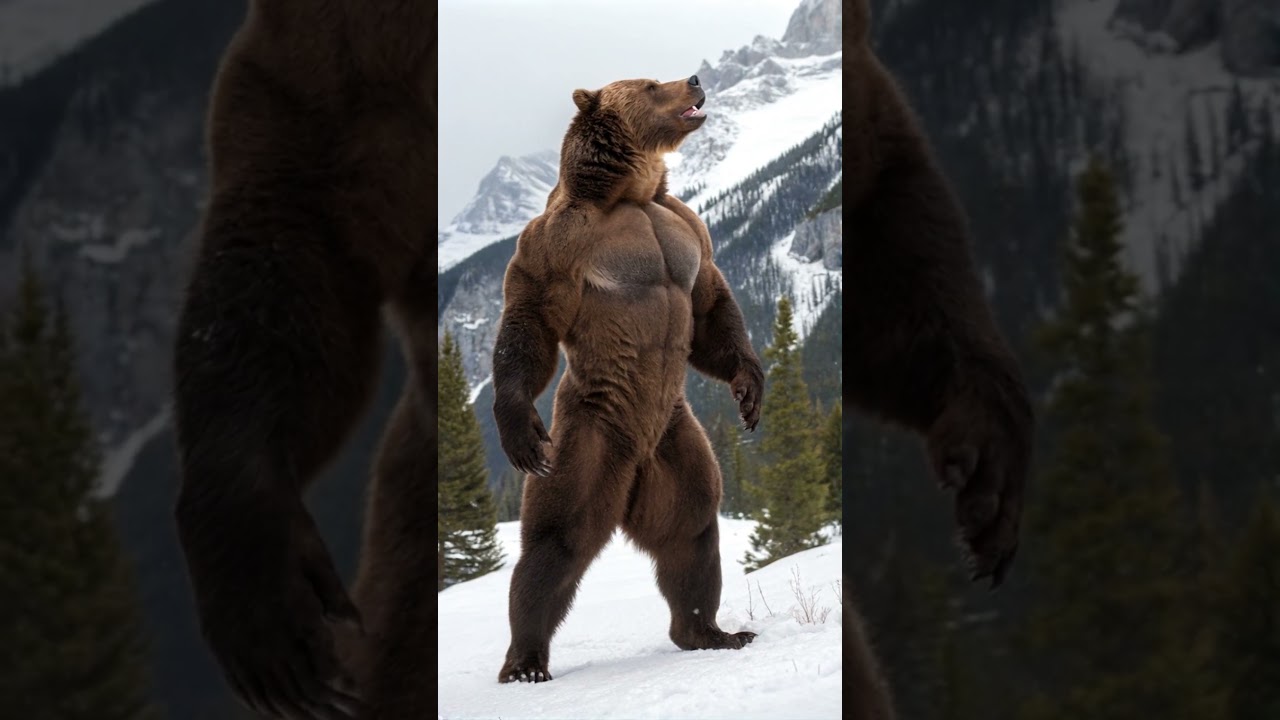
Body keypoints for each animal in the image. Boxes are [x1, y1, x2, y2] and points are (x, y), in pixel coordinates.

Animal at [490, 73, 765, 683]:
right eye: (650, 84)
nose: (695, 78)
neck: (631, 196)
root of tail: (633, 469)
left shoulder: (687, 227)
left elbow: (708, 300)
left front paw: (749, 386)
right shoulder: (559, 238)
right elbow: (531, 314)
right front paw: (517, 424)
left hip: (674, 442)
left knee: (691, 526)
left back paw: (710, 631)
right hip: (590, 436)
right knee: (557, 539)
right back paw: (525, 662)